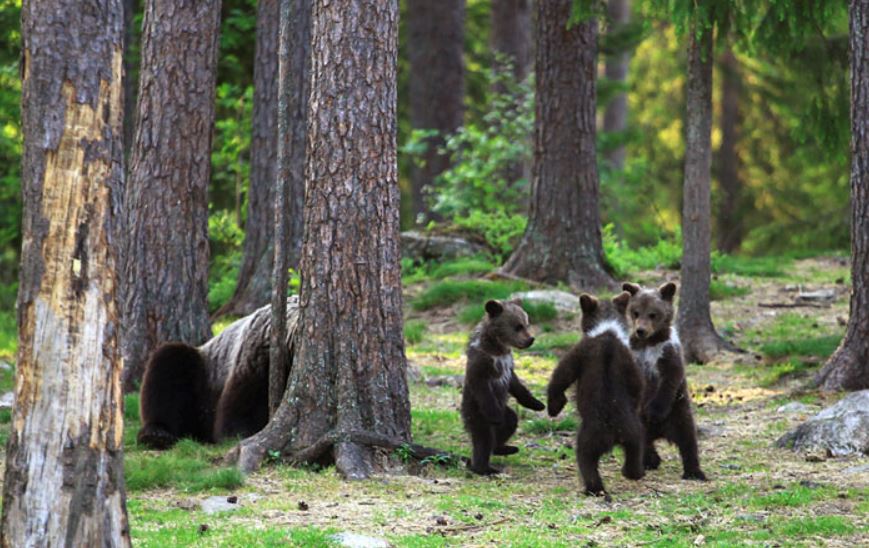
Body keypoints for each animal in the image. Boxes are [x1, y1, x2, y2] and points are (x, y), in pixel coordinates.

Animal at [136, 298, 298, 448]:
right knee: (169, 365)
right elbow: (244, 403)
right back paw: (156, 434)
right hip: (203, 375)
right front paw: (238, 435)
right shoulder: (259, 354)